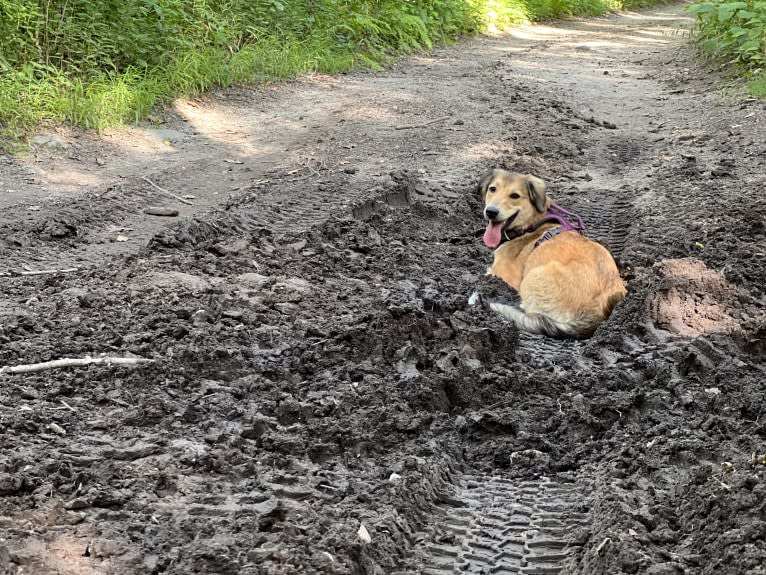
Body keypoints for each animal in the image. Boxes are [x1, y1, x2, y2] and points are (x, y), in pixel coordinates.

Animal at [474, 166, 632, 338]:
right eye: (492, 189)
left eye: (514, 196)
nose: (491, 212)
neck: (531, 225)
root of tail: (596, 314)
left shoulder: (501, 274)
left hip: (531, 279)